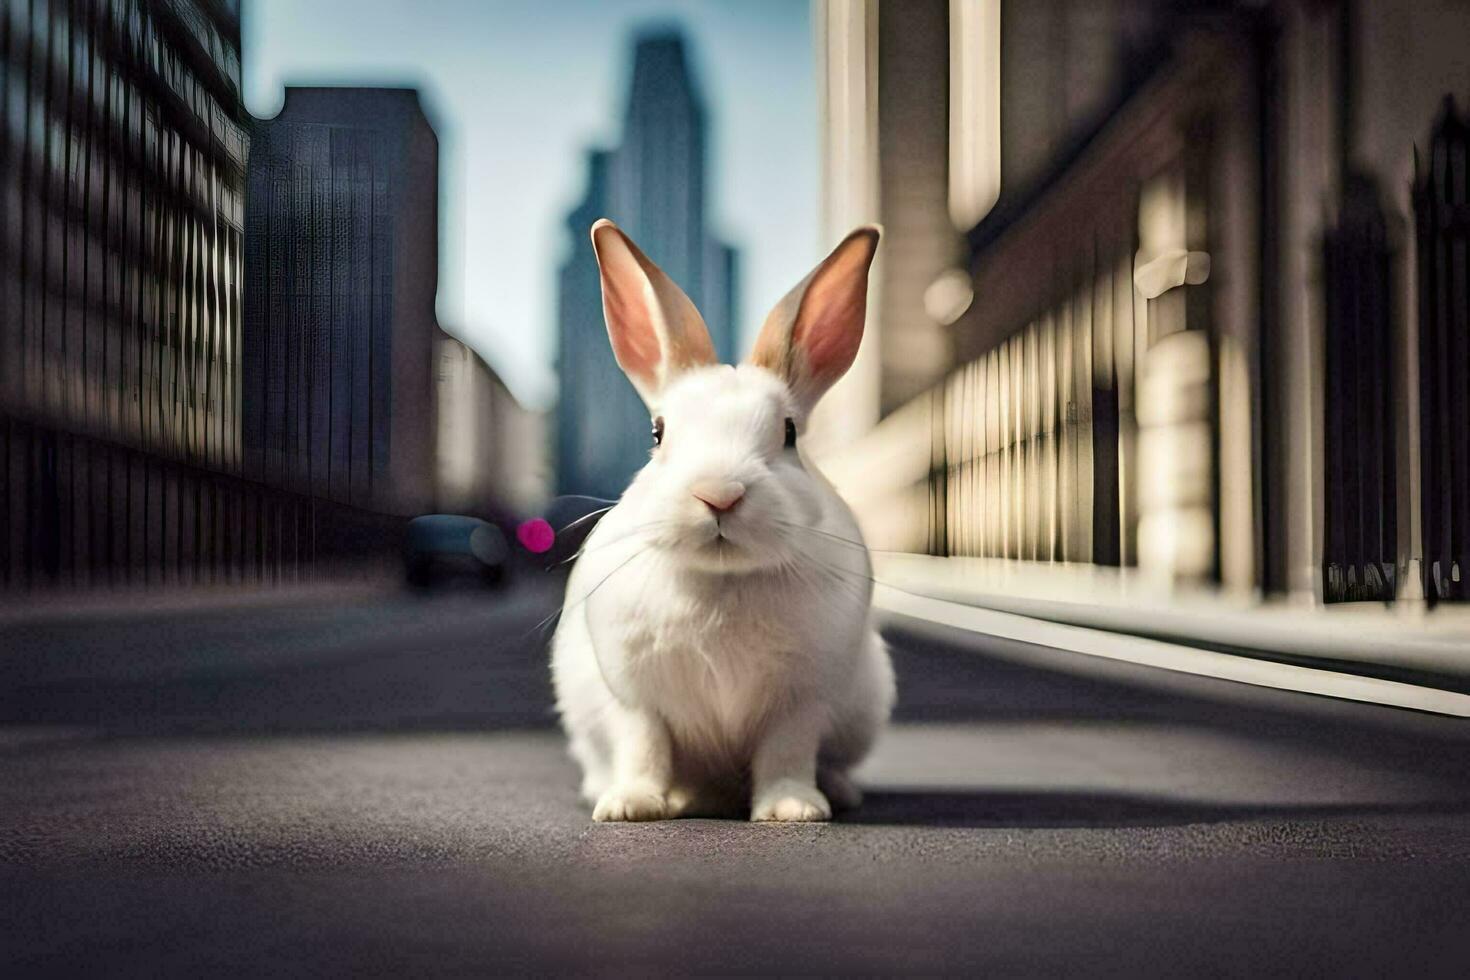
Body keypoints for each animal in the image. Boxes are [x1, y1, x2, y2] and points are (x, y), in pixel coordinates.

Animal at [552, 220, 893, 822]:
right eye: (658, 432)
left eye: (789, 433)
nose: (718, 494)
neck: (722, 580)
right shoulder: (634, 698)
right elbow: (644, 746)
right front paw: (631, 806)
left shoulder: (802, 700)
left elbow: (787, 752)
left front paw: (792, 809)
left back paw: (838, 791)